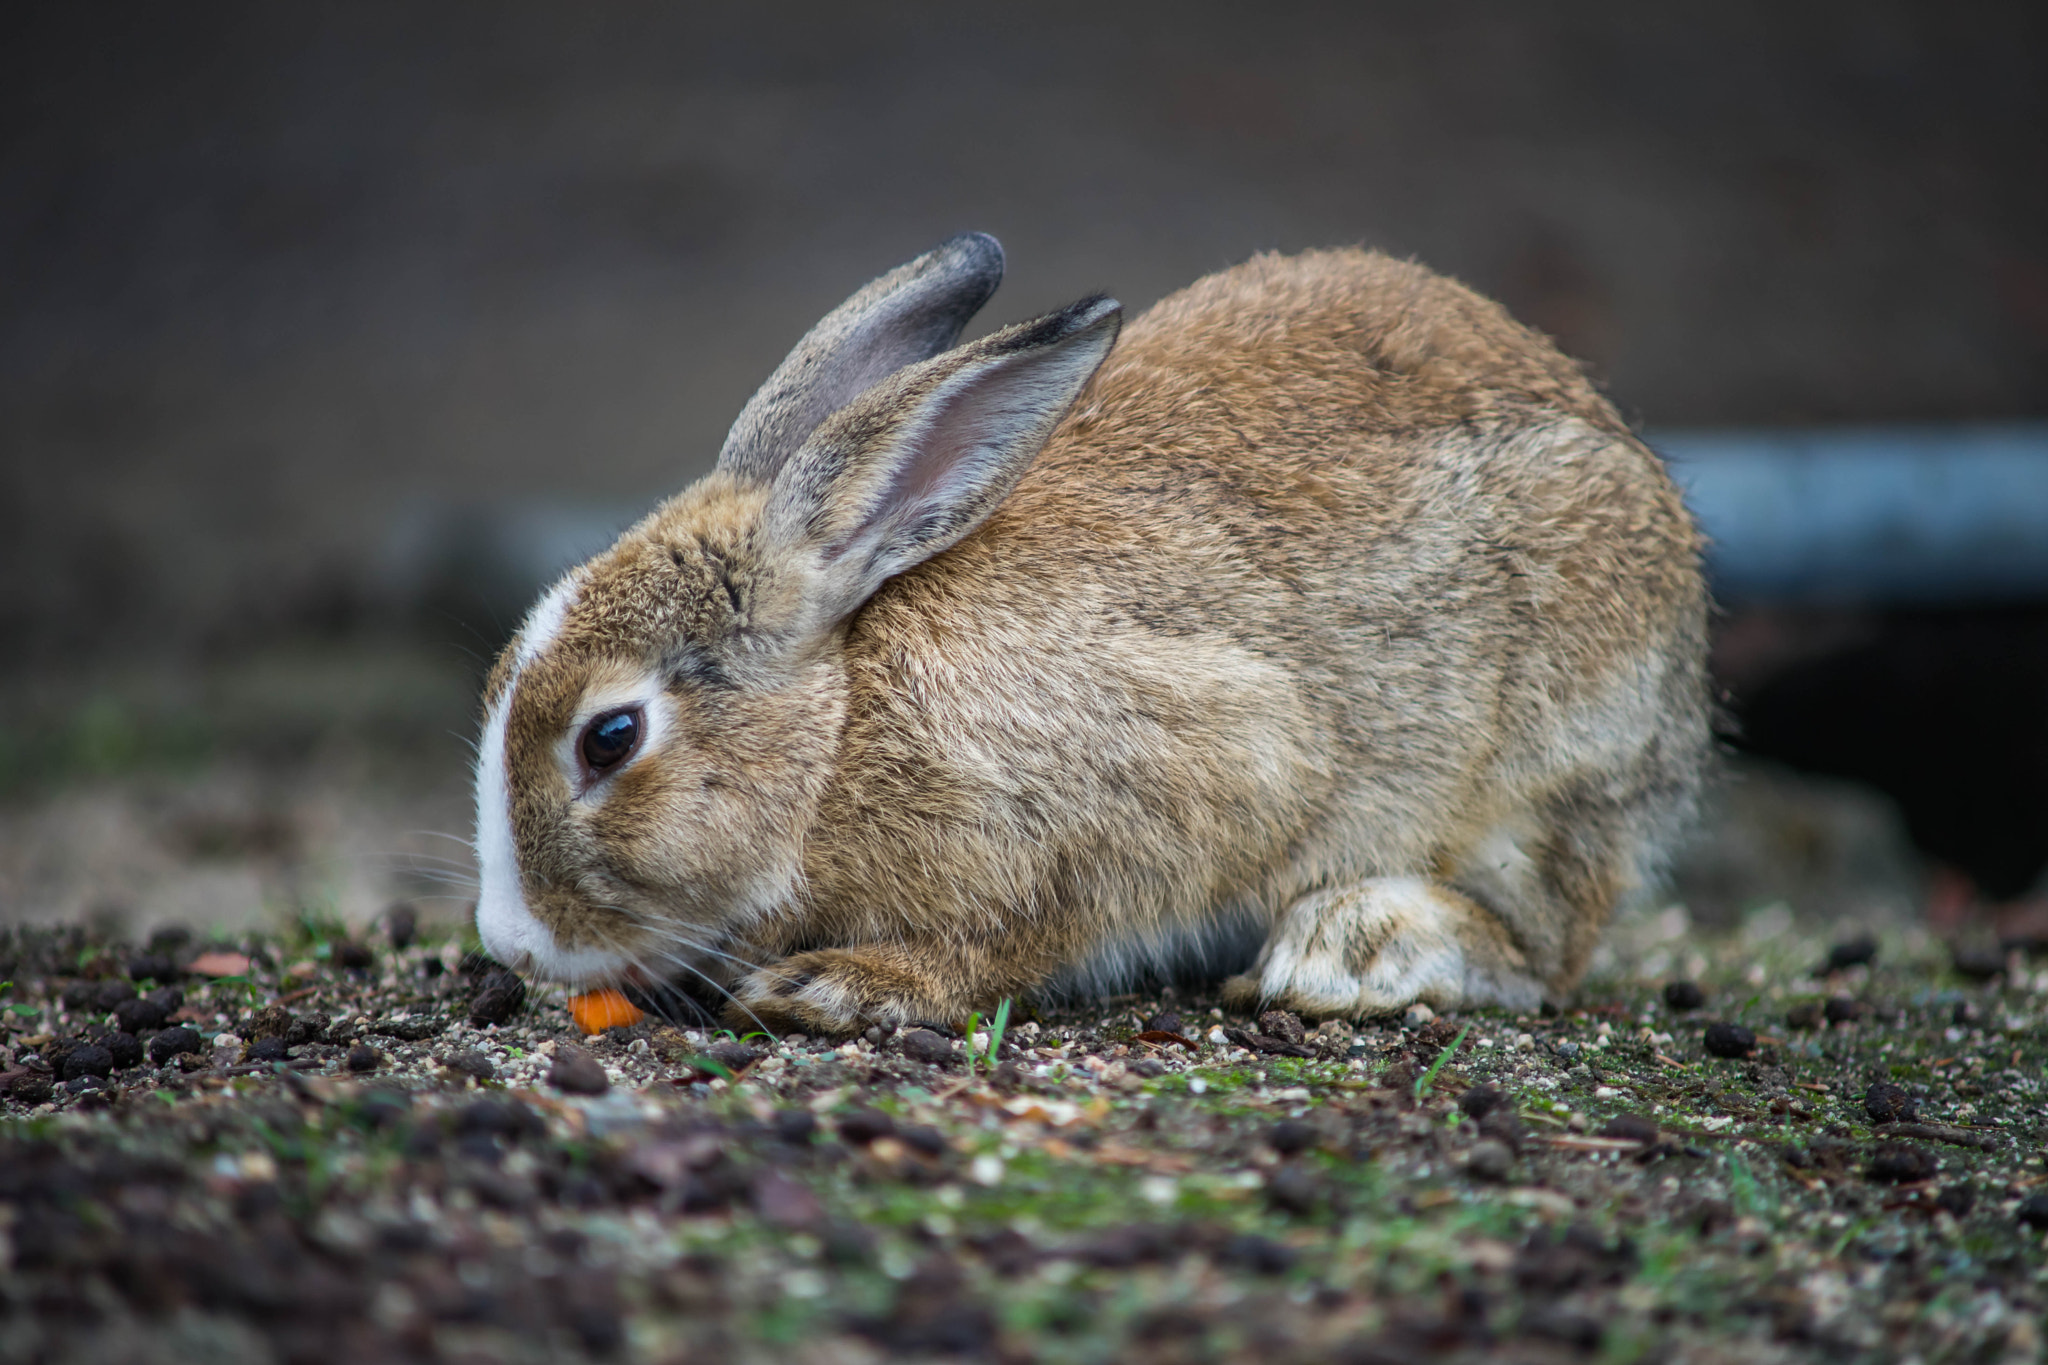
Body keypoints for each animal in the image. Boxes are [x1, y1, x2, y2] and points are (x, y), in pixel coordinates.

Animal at [471, 232, 1703, 1035]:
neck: (839, 731)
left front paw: (843, 987)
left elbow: (1023, 937)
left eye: (611, 739)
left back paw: (1353, 948)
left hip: (1544, 764)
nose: (512, 944)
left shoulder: (1204, 771)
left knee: (1543, 948)